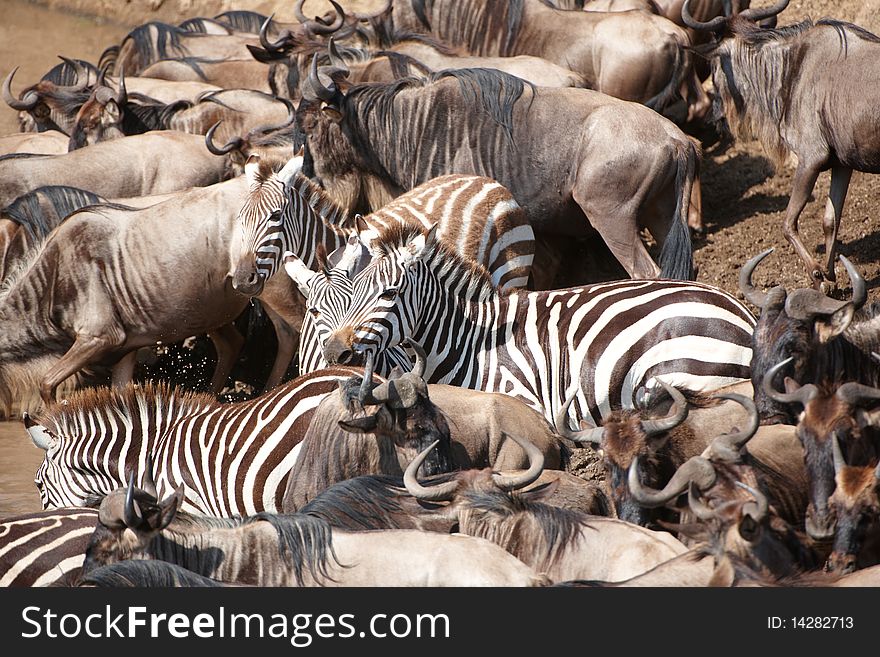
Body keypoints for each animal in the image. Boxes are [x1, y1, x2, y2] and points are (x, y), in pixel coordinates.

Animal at [324, 223, 756, 428]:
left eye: (390, 293)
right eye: (355, 289)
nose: (335, 351)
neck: (469, 343)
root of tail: (744, 312)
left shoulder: (522, 398)